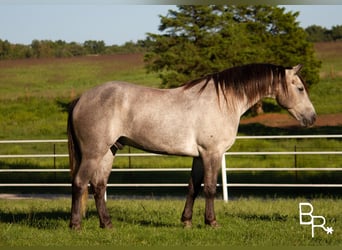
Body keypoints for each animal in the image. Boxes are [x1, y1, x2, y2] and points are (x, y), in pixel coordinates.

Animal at [68, 63, 316, 229]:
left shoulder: (199, 156)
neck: (223, 101)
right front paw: (211, 222)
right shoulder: (212, 153)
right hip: (94, 153)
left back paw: (107, 224)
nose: (312, 118)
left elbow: (193, 187)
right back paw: (76, 225)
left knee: (99, 186)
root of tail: (81, 99)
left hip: (109, 151)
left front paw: (186, 221)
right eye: (300, 88)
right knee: (80, 183)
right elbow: (210, 188)